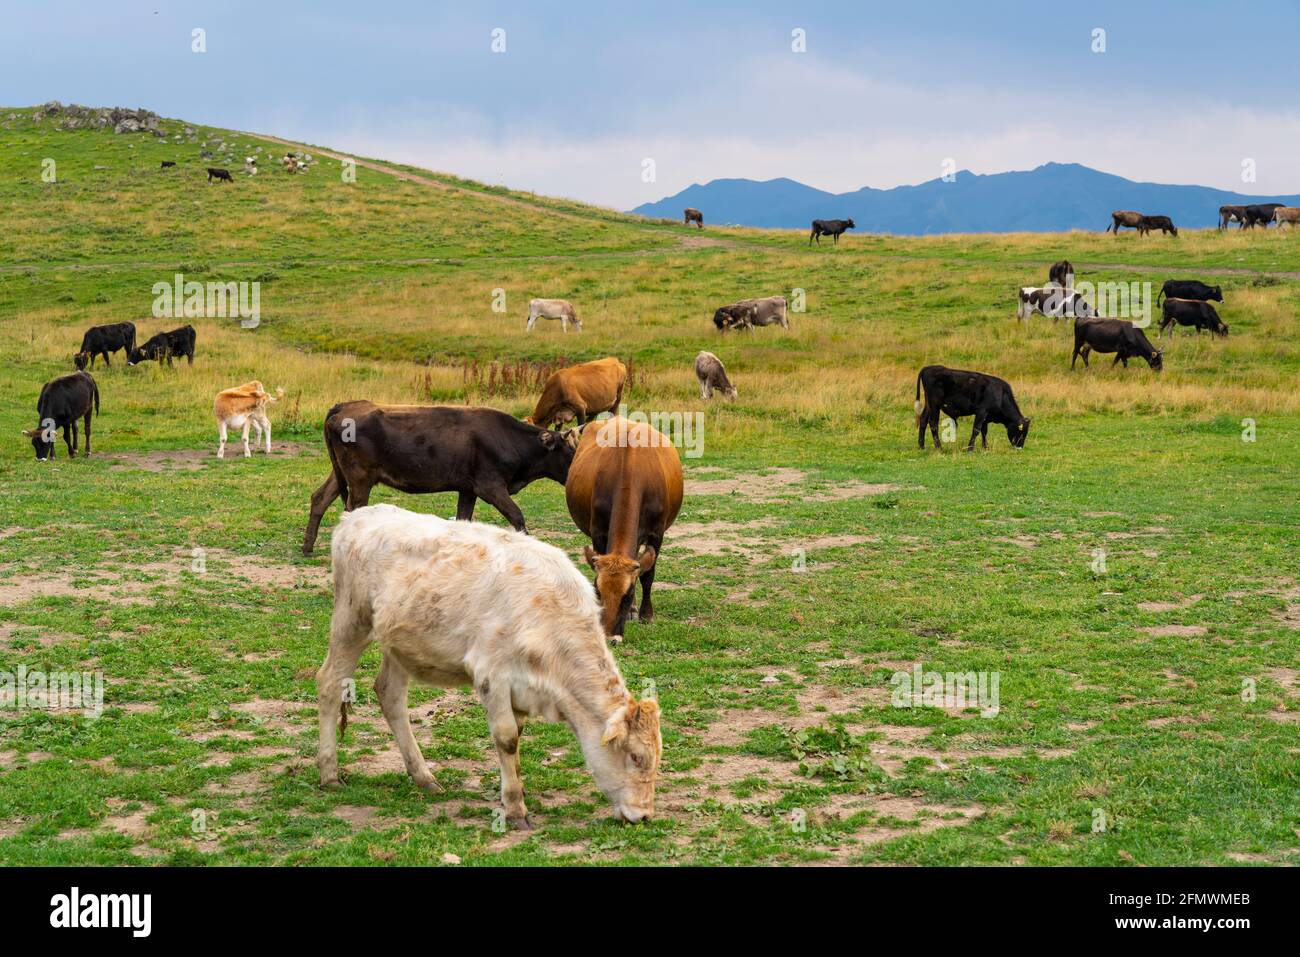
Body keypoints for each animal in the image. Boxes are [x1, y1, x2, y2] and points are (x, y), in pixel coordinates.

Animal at [303, 404, 577, 555]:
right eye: (570, 452)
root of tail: (346, 406)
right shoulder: (490, 486)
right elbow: (517, 516)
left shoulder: (468, 488)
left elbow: (464, 518)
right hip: (360, 479)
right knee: (352, 510)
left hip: (342, 474)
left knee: (320, 498)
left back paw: (307, 547)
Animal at [316, 503, 661, 827]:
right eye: (635, 756)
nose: (644, 815)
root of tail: (356, 516)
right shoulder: (491, 675)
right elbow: (507, 738)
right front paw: (515, 808)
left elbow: (517, 735)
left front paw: (516, 791)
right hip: (351, 620)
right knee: (329, 683)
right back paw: (329, 773)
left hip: (401, 642)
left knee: (390, 694)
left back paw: (424, 777)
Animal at [566, 416, 684, 639]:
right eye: (598, 591)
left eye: (627, 595)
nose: (610, 637)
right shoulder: (598, 532)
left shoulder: (657, 534)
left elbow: (647, 575)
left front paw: (646, 614)